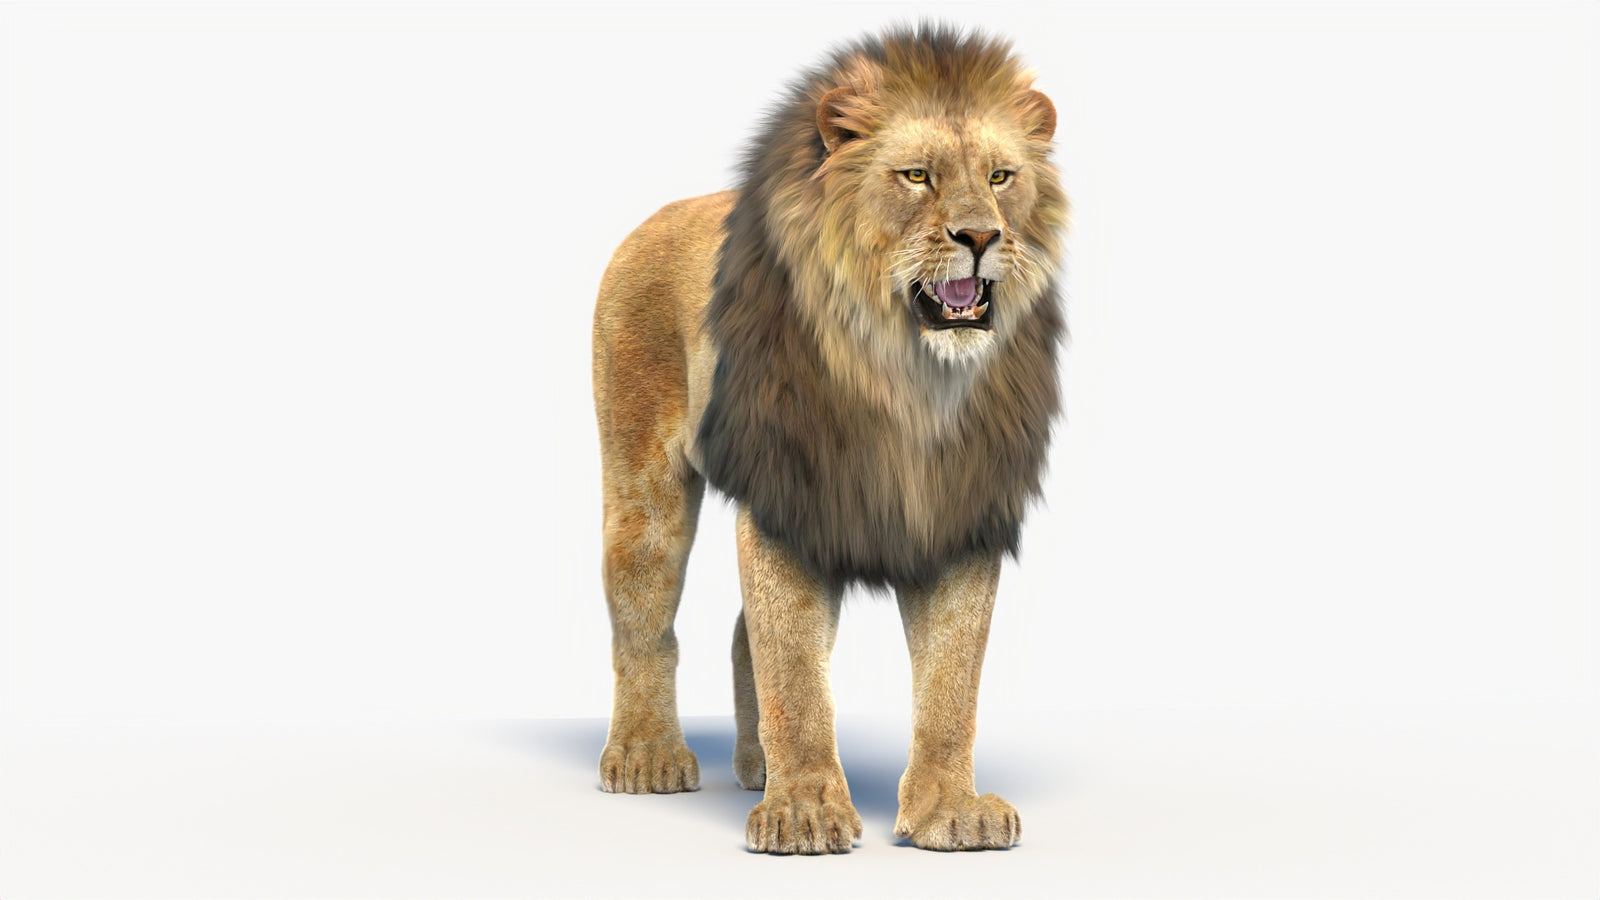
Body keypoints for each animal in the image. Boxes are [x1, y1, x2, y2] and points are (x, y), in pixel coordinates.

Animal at [590, 24, 1066, 854]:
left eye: (1001, 177)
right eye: (917, 176)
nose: (980, 235)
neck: (909, 382)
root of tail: (659, 215)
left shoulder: (962, 513)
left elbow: (951, 681)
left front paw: (949, 811)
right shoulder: (791, 496)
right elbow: (794, 673)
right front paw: (805, 813)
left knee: (742, 631)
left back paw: (753, 767)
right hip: (643, 490)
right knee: (642, 616)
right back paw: (647, 757)